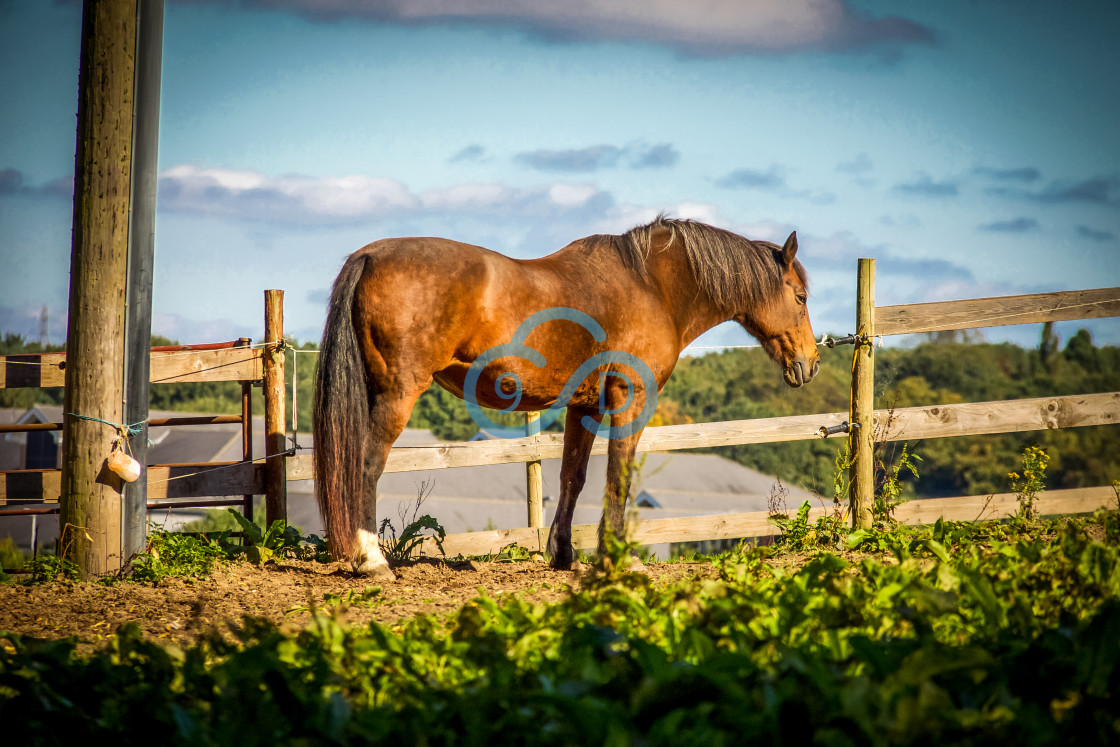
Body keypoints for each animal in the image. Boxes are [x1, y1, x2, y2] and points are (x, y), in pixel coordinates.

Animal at [311, 216, 819, 577]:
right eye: (800, 297)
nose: (810, 364)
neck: (651, 285)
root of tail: (370, 255)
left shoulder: (586, 405)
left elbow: (573, 477)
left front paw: (564, 554)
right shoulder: (630, 398)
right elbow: (618, 477)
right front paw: (616, 556)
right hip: (397, 393)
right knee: (366, 465)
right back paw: (372, 560)